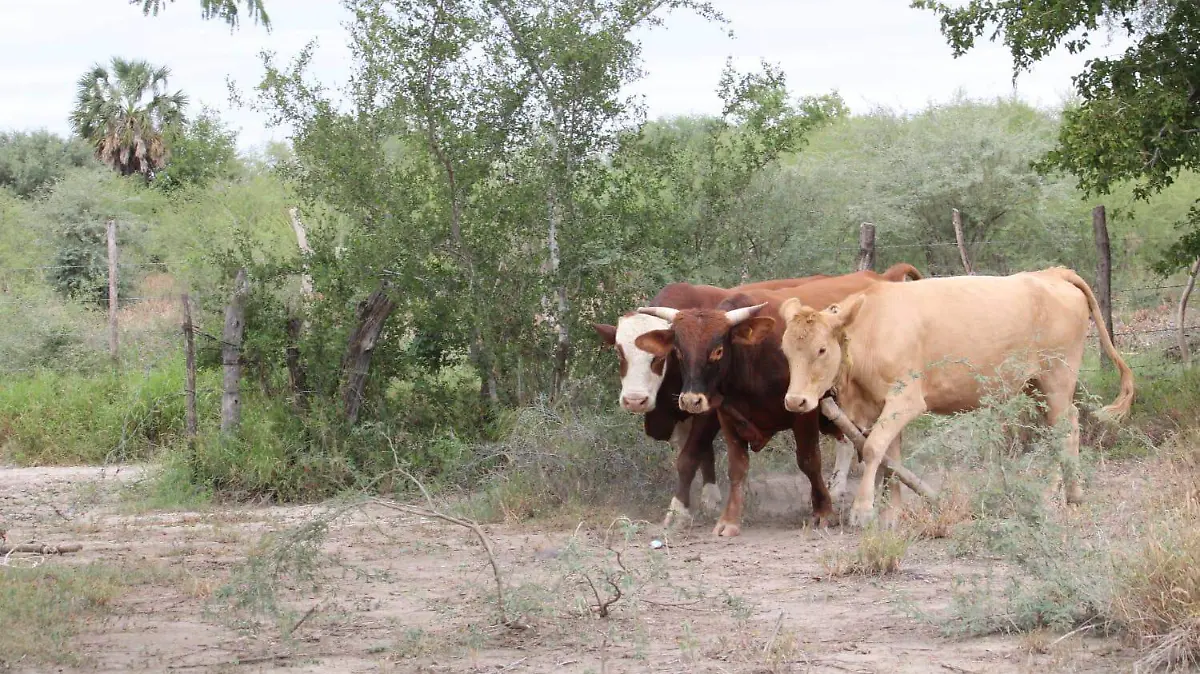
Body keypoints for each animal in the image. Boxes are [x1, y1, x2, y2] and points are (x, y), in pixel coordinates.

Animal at [632, 265, 924, 536]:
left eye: (717, 351)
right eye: (679, 352)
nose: (691, 400)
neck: (752, 357)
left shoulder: (804, 409)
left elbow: (809, 461)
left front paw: (823, 511)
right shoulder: (727, 416)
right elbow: (737, 468)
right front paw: (729, 520)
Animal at [777, 267, 1136, 528]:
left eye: (821, 349)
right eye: (786, 350)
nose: (795, 401)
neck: (872, 330)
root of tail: (1052, 273)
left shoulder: (905, 400)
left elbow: (874, 447)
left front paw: (863, 511)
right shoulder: (883, 406)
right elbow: (892, 459)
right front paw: (891, 514)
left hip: (1057, 379)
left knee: (1065, 430)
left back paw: (1053, 496)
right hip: (1037, 386)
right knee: (1066, 425)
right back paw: (1072, 493)